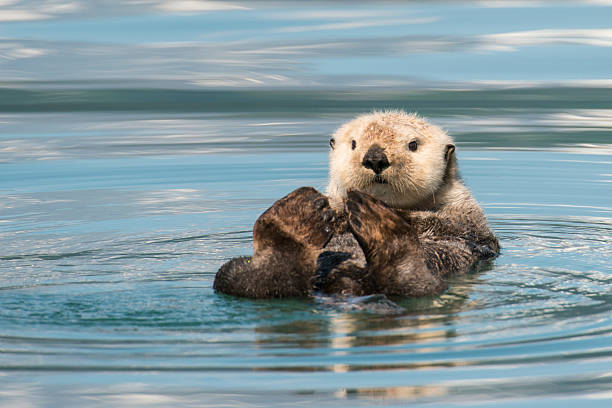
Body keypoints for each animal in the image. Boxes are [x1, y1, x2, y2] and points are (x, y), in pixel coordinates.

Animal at [214, 111, 498, 300]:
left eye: (413, 144)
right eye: (353, 144)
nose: (375, 157)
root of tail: (347, 284)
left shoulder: (467, 218)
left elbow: (442, 224)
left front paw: (393, 213)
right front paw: (334, 212)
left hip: (425, 284)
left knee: (409, 282)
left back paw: (377, 222)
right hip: (233, 273)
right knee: (256, 282)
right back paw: (295, 219)